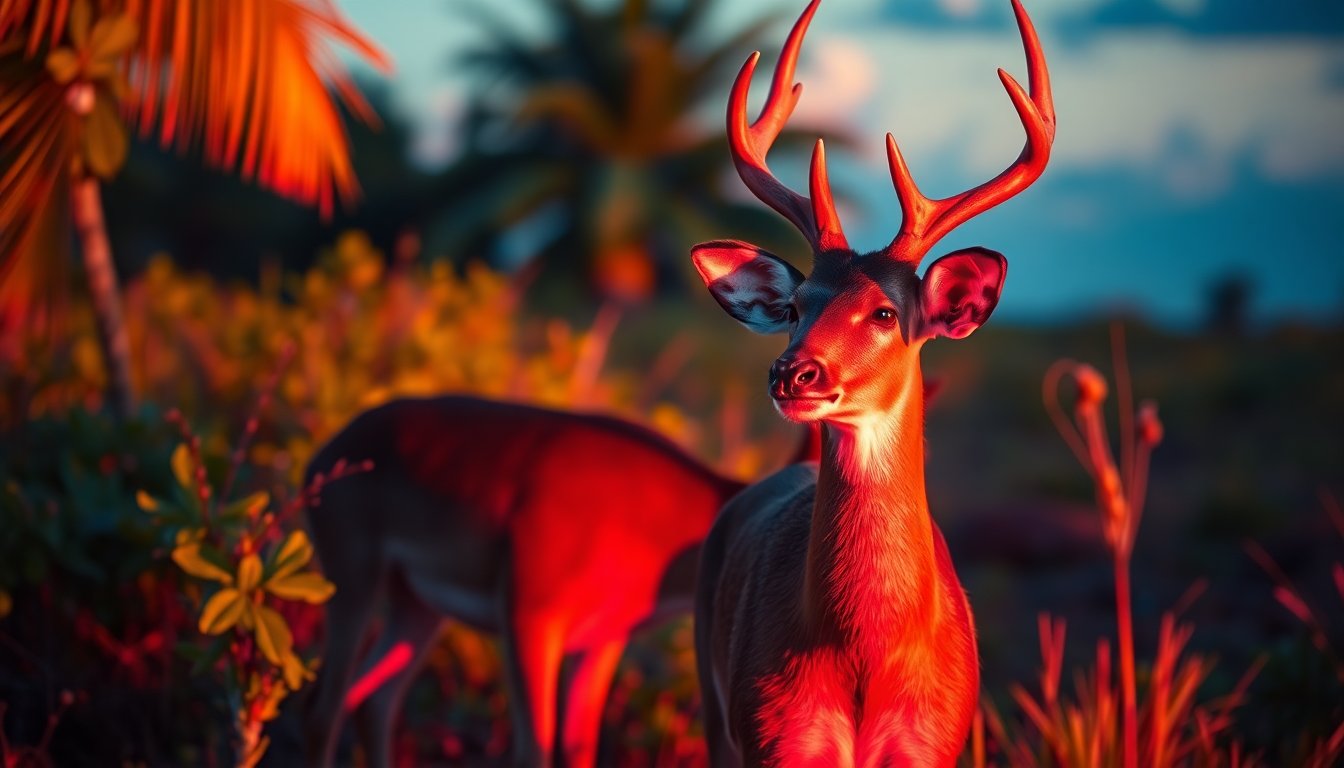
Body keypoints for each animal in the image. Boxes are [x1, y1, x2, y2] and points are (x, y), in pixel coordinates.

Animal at [300, 394, 820, 768]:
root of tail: (323, 457)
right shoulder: (529, 618)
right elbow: (534, 751)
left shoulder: (603, 639)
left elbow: (578, 749)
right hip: (351, 581)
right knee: (323, 710)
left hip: (417, 609)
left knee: (372, 700)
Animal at [689, 0, 1054, 765]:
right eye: (796, 307)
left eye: (885, 312)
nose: (793, 372)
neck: (864, 658)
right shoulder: (777, 735)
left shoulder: (933, 740)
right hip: (715, 707)